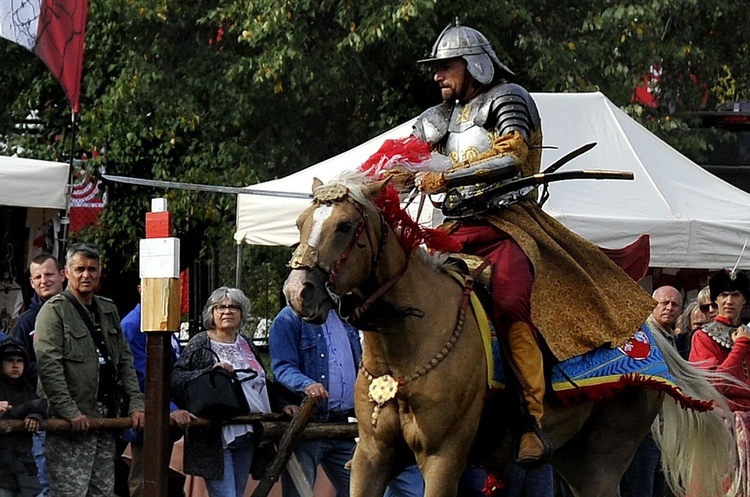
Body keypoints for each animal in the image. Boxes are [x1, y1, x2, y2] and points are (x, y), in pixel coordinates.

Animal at [284, 173, 744, 496]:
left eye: (345, 226)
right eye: (300, 222)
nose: (297, 292)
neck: (406, 347)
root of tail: (649, 335)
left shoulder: (442, 458)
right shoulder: (370, 457)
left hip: (604, 455)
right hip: (572, 458)